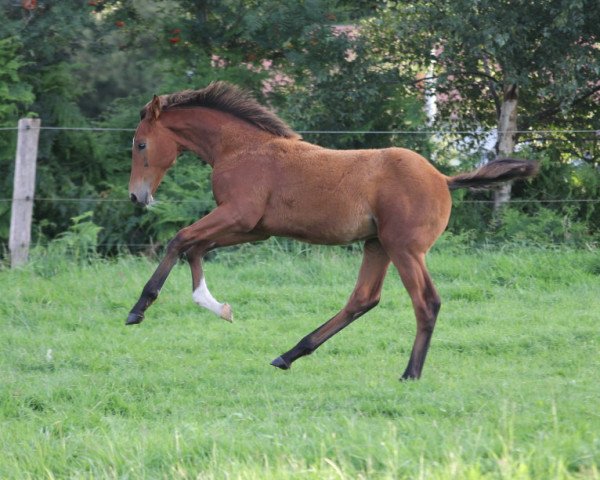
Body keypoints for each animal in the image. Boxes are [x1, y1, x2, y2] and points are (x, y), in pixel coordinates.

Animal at [126, 81, 540, 378]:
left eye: (141, 144)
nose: (136, 195)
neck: (241, 149)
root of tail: (443, 178)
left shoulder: (237, 215)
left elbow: (180, 239)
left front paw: (139, 309)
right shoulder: (253, 228)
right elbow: (194, 247)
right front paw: (216, 306)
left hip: (404, 248)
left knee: (426, 302)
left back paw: (410, 373)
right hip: (377, 245)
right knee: (363, 299)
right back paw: (289, 355)